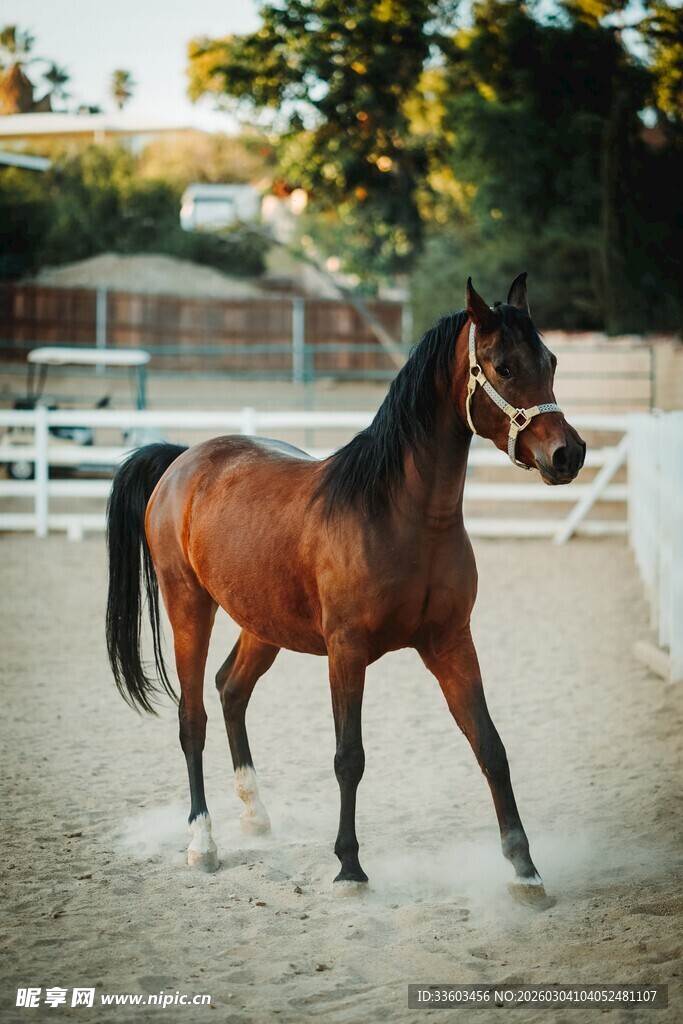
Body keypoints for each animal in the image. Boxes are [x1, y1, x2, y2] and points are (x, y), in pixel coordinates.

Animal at [106, 274, 585, 901]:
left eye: (549, 360)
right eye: (503, 366)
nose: (568, 454)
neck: (399, 516)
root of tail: (183, 459)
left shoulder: (452, 641)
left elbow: (491, 747)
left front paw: (525, 870)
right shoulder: (347, 651)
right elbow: (349, 757)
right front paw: (350, 868)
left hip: (263, 624)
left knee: (231, 689)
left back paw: (256, 816)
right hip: (189, 607)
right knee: (193, 720)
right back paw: (202, 843)